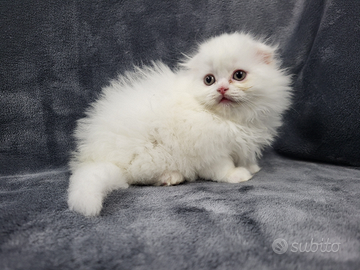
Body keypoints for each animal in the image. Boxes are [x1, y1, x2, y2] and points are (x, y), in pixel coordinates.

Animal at [67, 32, 292, 216]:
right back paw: (171, 177)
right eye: (209, 80)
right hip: (151, 155)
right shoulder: (209, 148)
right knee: (137, 177)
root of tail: (96, 156)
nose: (221, 89)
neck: (227, 119)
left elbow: (245, 154)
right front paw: (237, 175)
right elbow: (222, 167)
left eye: (239, 75)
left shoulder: (244, 139)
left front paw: (251, 167)